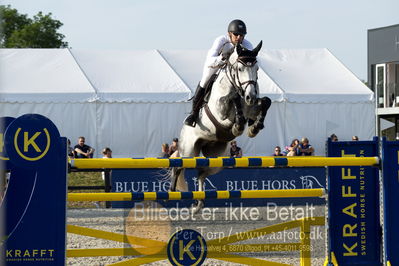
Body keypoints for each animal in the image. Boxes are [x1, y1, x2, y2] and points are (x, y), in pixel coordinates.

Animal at [169, 41, 272, 214]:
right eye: (240, 69)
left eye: (257, 69)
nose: (250, 96)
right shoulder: (220, 111)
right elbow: (233, 98)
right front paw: (239, 126)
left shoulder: (251, 107)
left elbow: (265, 101)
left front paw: (254, 127)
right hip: (189, 152)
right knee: (178, 168)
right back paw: (170, 194)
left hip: (217, 159)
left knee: (202, 173)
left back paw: (198, 204)